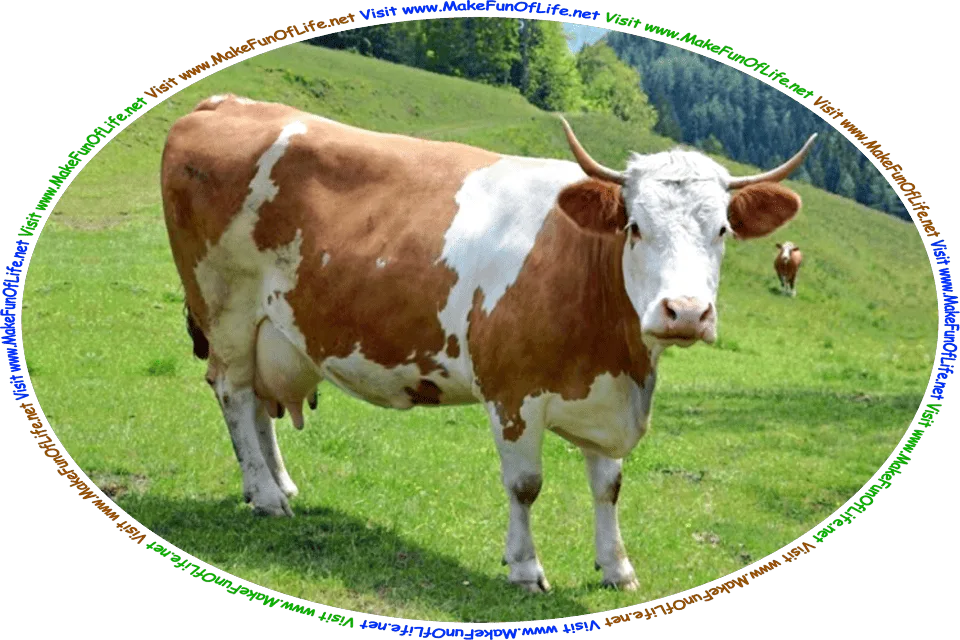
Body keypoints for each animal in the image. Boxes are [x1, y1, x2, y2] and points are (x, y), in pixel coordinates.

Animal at [160, 93, 815, 593]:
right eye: (635, 226)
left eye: (722, 229)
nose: (685, 312)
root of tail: (225, 103)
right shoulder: (513, 393)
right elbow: (526, 486)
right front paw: (525, 568)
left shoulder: (604, 395)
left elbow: (609, 486)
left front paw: (617, 568)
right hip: (226, 308)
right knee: (233, 393)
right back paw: (265, 494)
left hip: (268, 328)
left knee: (259, 403)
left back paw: (275, 484)